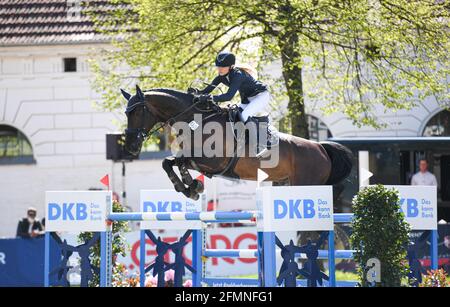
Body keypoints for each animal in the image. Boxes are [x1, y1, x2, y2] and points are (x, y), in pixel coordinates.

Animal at [121, 86, 354, 202]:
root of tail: (321, 148)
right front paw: (188, 188)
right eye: (126, 113)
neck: (197, 120)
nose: (131, 147)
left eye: (136, 112)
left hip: (306, 183)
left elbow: (181, 162)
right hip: (286, 182)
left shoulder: (212, 162)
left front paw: (192, 186)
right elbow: (168, 163)